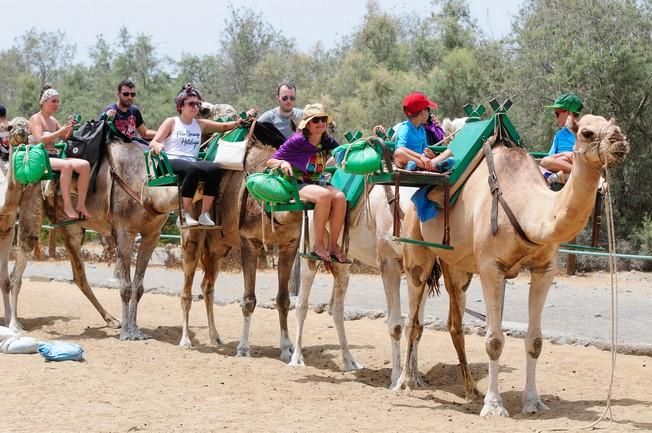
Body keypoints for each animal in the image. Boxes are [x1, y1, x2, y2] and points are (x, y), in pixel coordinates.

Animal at [394, 114, 628, 416]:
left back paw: (470, 390)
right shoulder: (491, 268)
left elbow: (535, 341)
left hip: (457, 266)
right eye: (586, 132)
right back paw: (404, 382)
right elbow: (494, 341)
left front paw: (533, 402)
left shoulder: (544, 269)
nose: (619, 140)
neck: (528, 210)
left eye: (615, 125)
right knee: (413, 319)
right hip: (417, 251)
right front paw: (494, 406)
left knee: (454, 324)